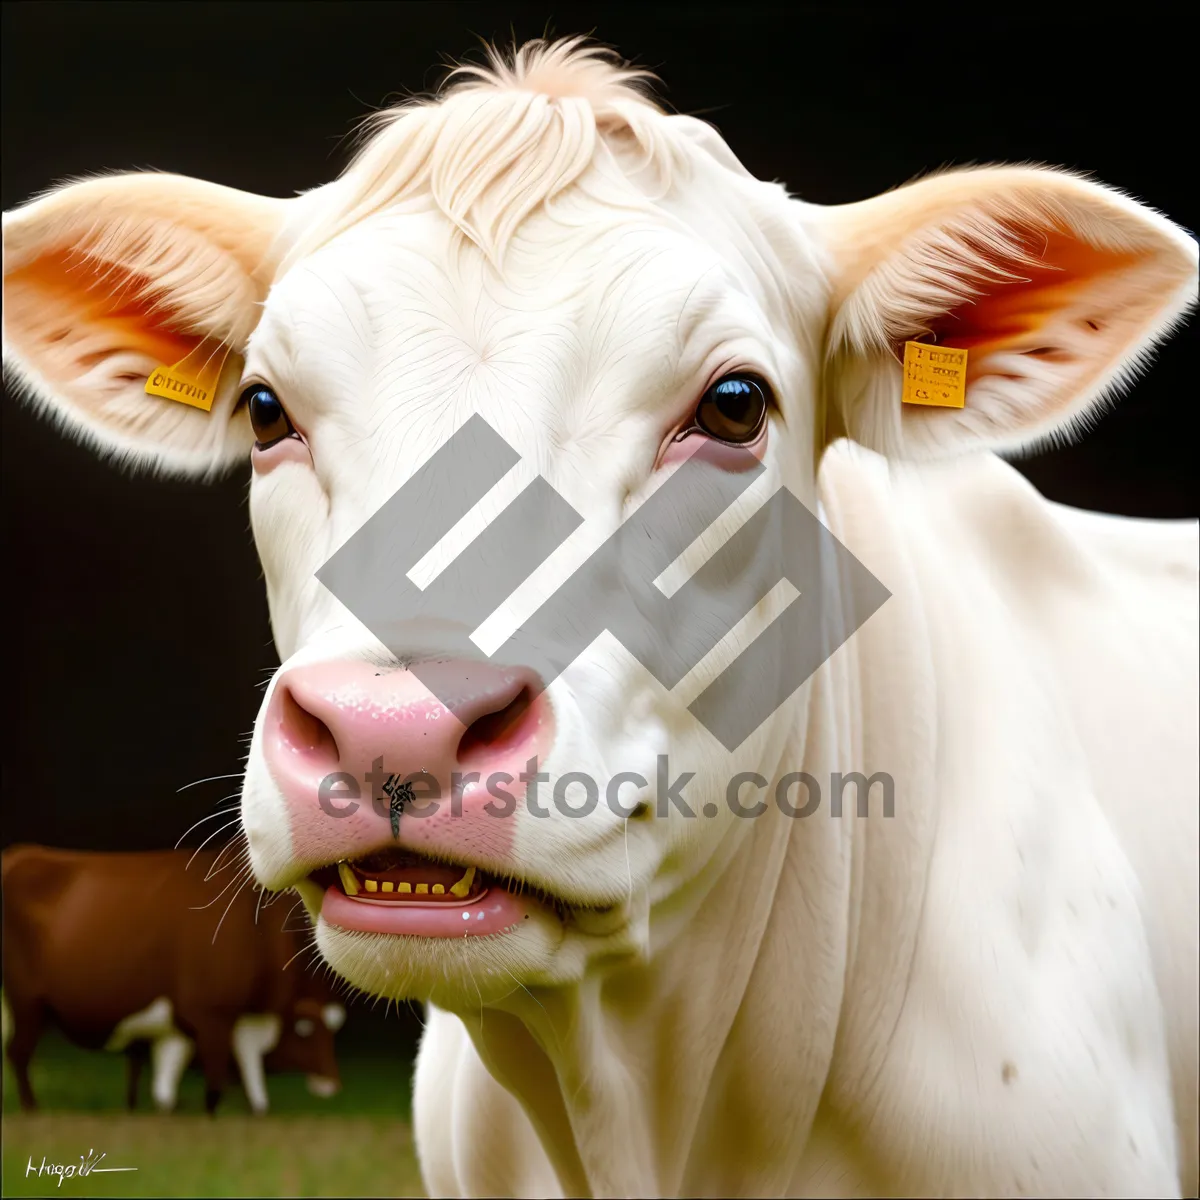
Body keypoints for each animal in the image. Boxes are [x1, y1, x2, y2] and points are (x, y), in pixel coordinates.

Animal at [2, 844, 345, 1113]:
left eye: (333, 1029)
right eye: (305, 1030)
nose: (331, 1082)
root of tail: (18, 855)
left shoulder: (179, 1031)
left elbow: (166, 1098)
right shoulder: (211, 1017)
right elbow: (214, 1090)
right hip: (26, 1003)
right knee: (18, 1053)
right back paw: (31, 1109)